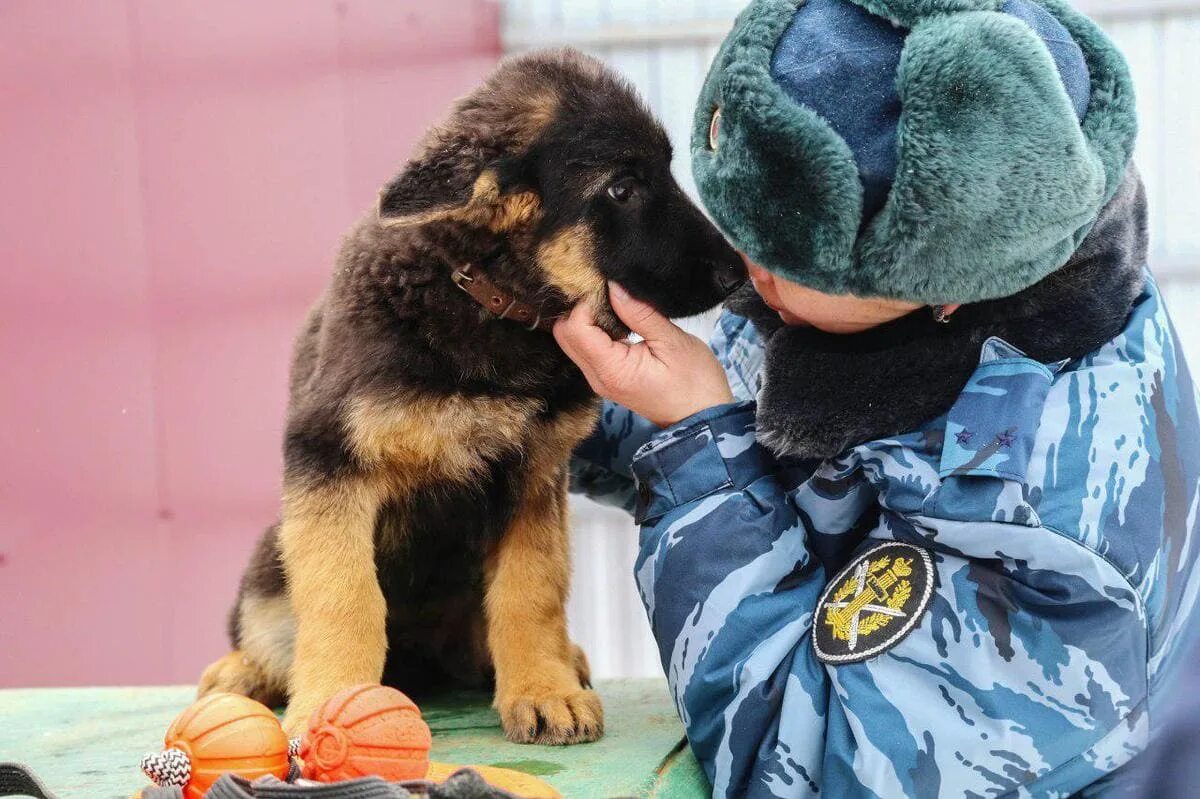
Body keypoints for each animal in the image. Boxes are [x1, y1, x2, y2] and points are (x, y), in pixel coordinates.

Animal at [201, 48, 744, 739]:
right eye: (622, 189)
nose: (737, 274)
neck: (482, 296)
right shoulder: (330, 460)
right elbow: (344, 594)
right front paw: (332, 700)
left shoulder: (534, 475)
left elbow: (530, 588)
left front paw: (542, 688)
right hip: (271, 560)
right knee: (272, 626)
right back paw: (242, 670)